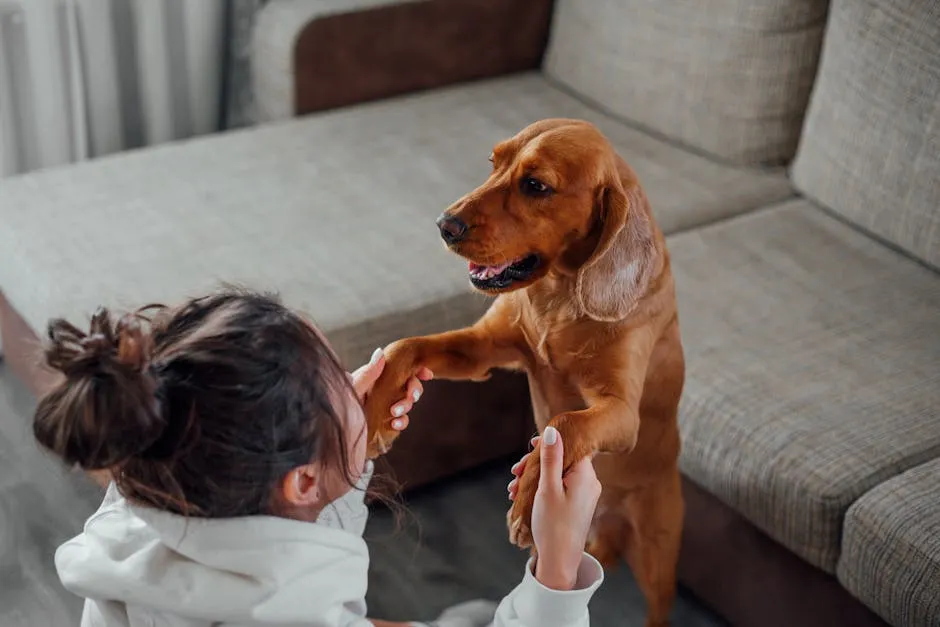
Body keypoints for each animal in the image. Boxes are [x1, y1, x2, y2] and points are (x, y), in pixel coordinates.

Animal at [368, 119, 684, 627]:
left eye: (536, 186)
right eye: (493, 163)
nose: (443, 225)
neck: (559, 293)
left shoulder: (621, 412)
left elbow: (566, 423)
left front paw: (530, 494)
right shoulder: (482, 349)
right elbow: (407, 346)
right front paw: (375, 410)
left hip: (658, 557)